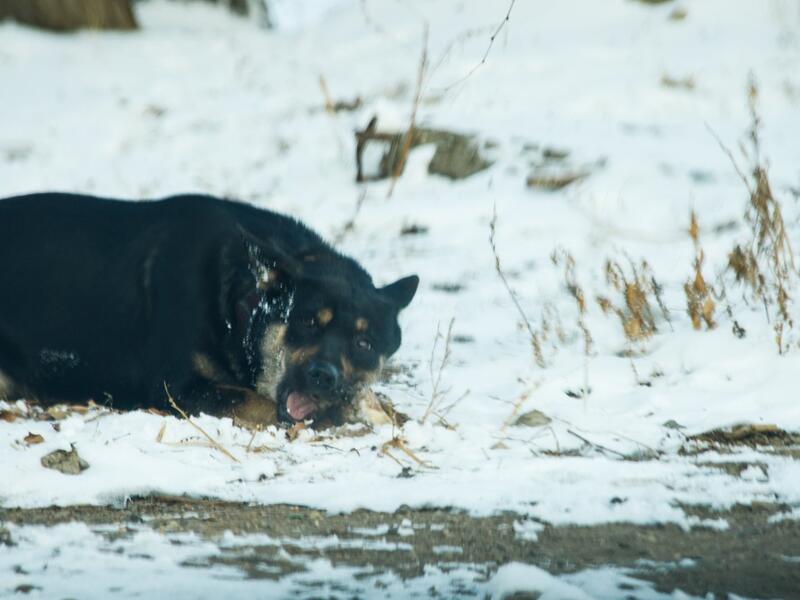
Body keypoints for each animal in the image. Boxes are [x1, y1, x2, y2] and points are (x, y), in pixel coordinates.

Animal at [0, 192, 422, 426]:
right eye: (306, 321)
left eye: (364, 343)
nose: (322, 376)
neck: (239, 307)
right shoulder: (176, 387)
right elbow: (255, 400)